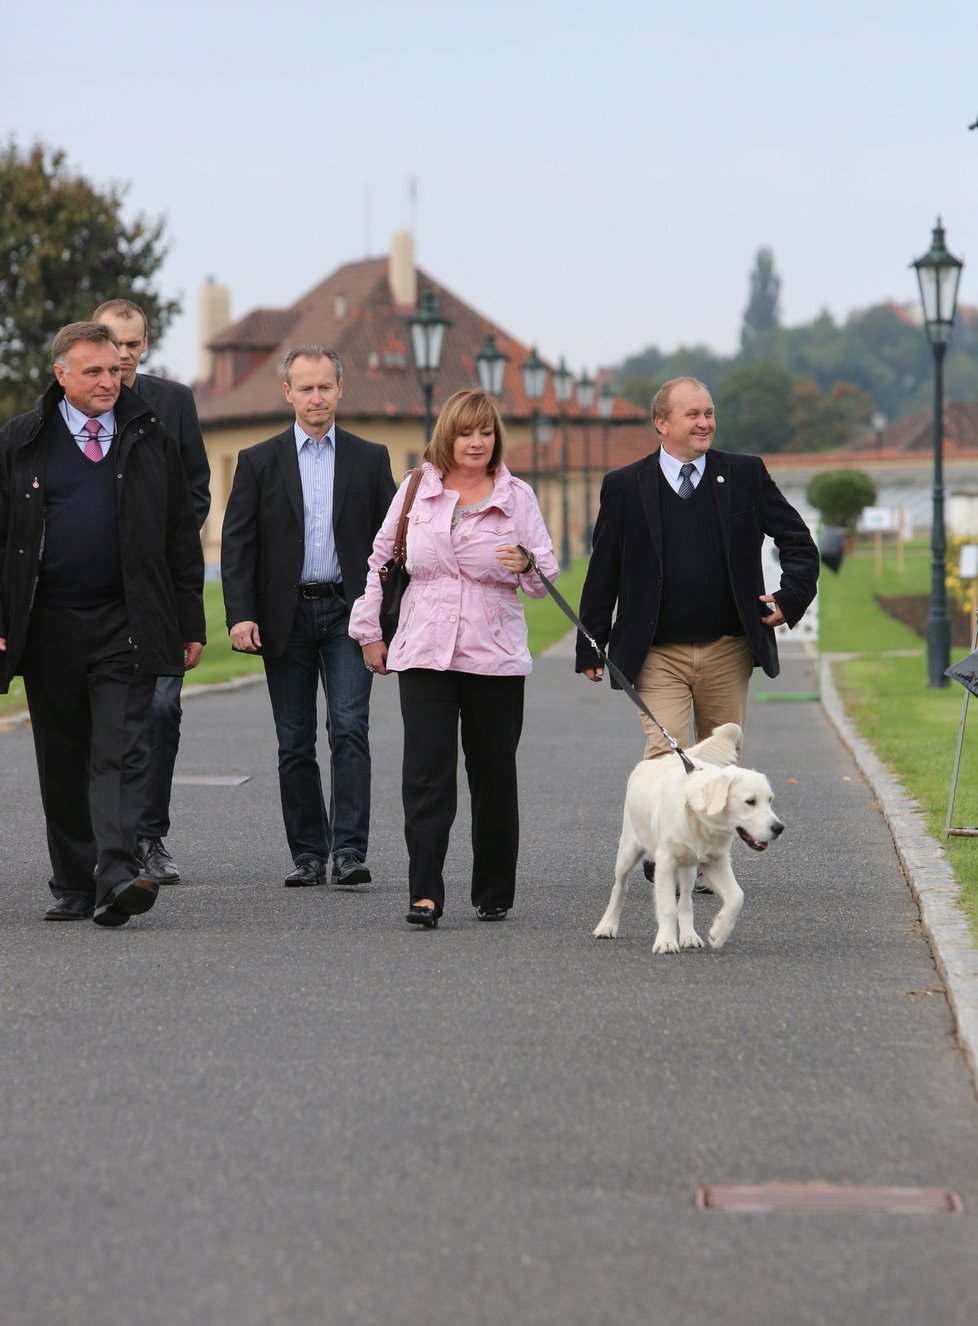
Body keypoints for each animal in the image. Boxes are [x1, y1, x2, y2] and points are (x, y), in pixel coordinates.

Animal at [591, 726, 779, 954]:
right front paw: (666, 941)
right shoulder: (665, 862)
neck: (699, 818)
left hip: (688, 869)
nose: (779, 828)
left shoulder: (715, 862)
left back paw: (690, 936)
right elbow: (667, 907)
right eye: (750, 801)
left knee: (686, 901)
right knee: (620, 888)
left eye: (770, 800)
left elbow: (736, 897)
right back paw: (607, 926)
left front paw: (718, 932)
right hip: (628, 852)